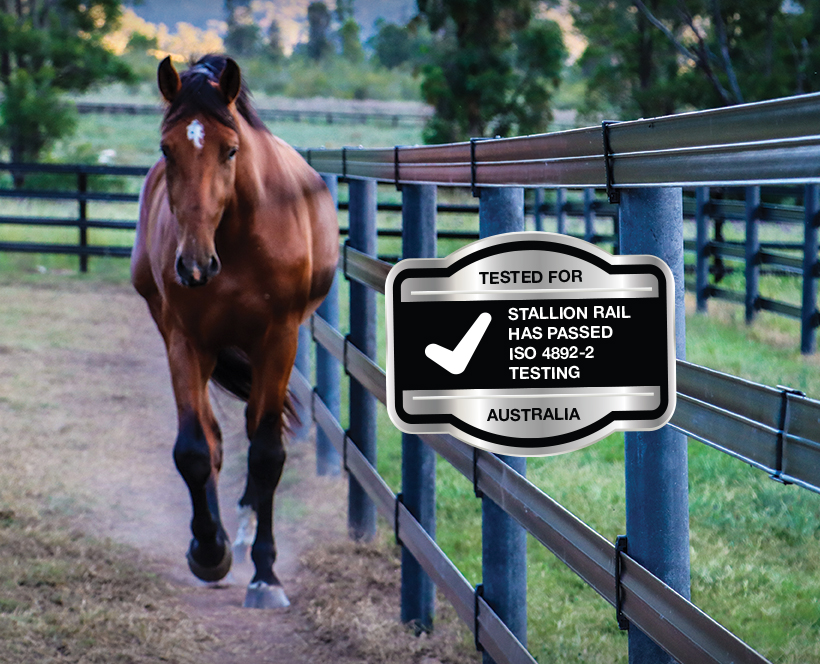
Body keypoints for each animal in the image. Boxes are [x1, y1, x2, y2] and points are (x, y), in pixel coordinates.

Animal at [131, 54, 339, 608]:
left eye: (230, 150)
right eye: (167, 148)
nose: (194, 265)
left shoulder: (279, 340)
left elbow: (267, 452)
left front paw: (265, 575)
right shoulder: (185, 340)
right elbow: (195, 449)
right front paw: (208, 550)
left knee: (255, 432)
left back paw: (246, 534)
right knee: (216, 438)